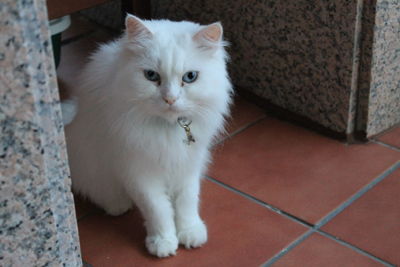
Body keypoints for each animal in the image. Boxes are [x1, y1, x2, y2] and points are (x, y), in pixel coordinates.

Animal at [64, 14, 233, 258]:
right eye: (151, 76)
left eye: (190, 77)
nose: (170, 99)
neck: (168, 128)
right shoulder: (137, 171)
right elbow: (158, 209)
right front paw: (163, 242)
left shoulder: (189, 164)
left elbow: (187, 201)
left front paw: (190, 232)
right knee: (97, 190)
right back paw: (117, 205)